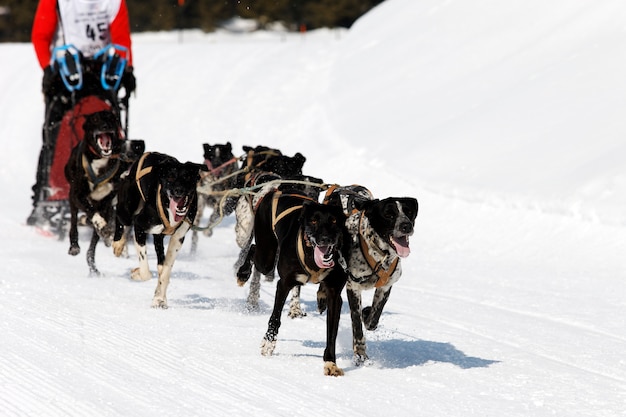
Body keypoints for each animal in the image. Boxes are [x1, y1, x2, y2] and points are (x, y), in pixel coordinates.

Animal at [64, 109, 144, 274]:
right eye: (95, 119)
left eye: (112, 118)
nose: (105, 126)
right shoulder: (78, 195)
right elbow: (90, 212)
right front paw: (98, 221)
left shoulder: (107, 201)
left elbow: (100, 217)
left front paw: (105, 229)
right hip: (73, 200)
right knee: (74, 221)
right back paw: (75, 245)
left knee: (93, 244)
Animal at [112, 151, 207, 308]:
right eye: (170, 177)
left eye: (187, 177)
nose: (178, 191)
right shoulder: (139, 225)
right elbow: (146, 271)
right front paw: (138, 273)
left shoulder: (178, 238)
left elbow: (166, 270)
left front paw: (159, 298)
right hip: (127, 209)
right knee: (119, 217)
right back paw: (118, 243)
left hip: (158, 235)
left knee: (160, 263)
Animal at [236, 190, 348, 376]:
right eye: (314, 221)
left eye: (333, 221)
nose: (325, 239)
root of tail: (276, 191)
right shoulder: (284, 284)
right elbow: (275, 317)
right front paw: (269, 343)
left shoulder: (335, 294)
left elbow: (331, 332)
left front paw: (330, 362)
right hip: (266, 256)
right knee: (253, 249)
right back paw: (243, 273)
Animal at [322, 185, 420, 364]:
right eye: (389, 214)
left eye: (408, 212)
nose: (406, 226)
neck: (380, 255)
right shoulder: (353, 287)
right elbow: (357, 325)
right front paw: (360, 353)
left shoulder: (386, 286)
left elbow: (373, 318)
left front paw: (367, 313)